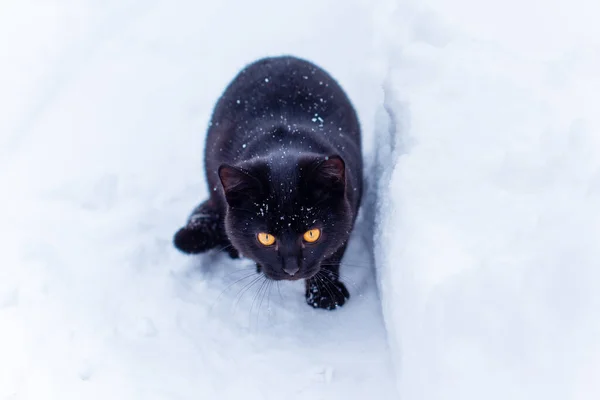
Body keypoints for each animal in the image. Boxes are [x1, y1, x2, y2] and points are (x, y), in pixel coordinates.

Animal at [173, 55, 360, 310]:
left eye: (312, 234)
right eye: (266, 238)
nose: (291, 269)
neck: (284, 147)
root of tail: (281, 57)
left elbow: (334, 251)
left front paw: (324, 293)